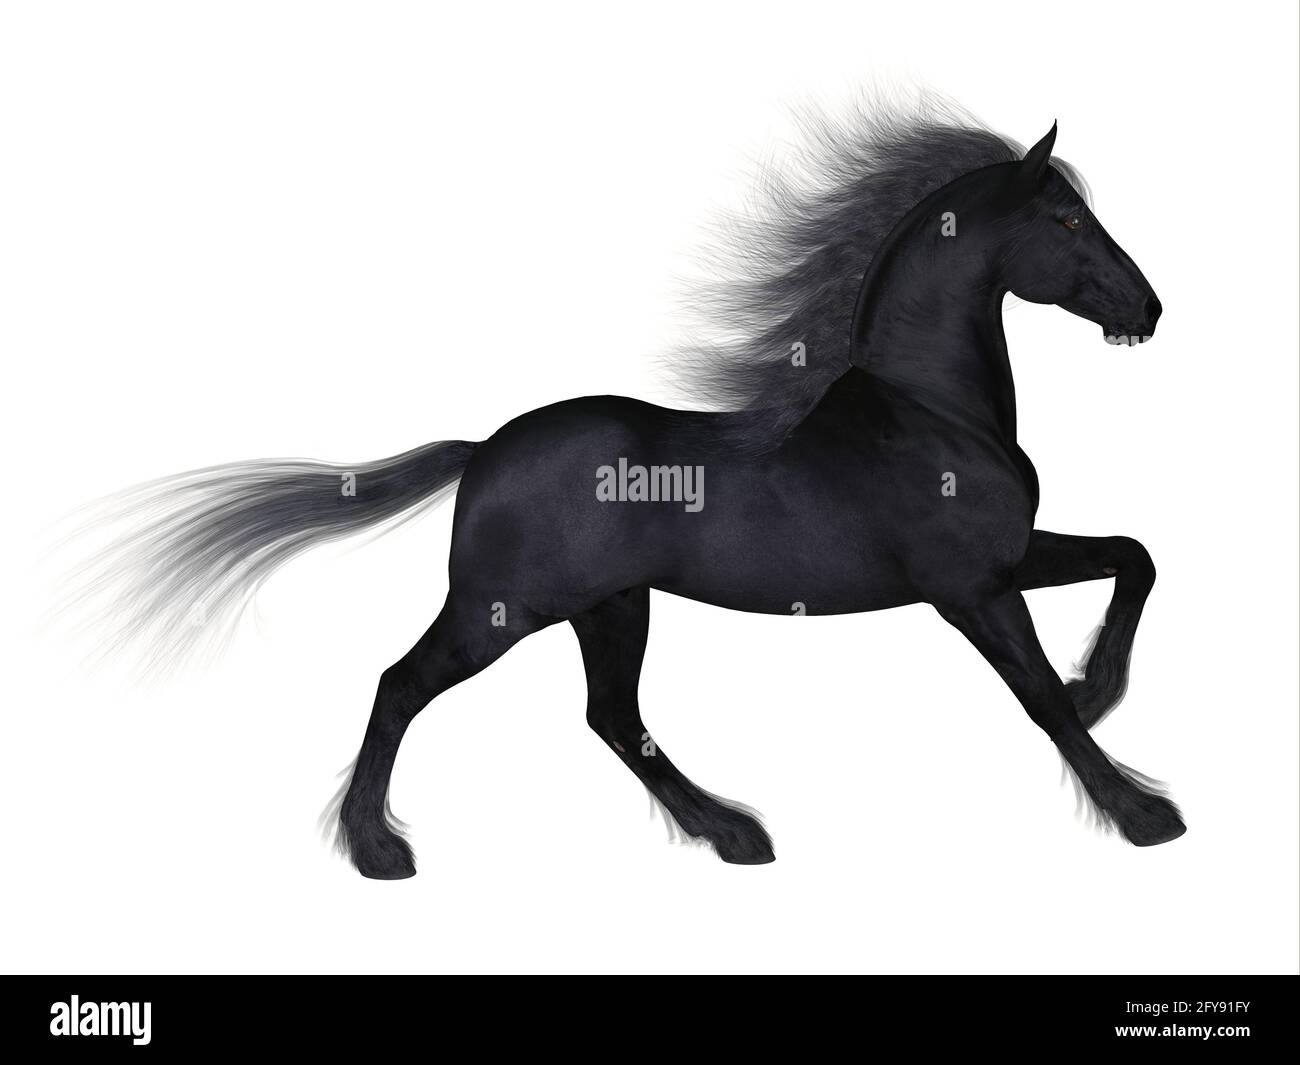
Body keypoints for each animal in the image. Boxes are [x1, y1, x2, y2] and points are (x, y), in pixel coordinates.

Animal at [71, 102, 1180, 879]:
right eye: (1067, 216)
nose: (1150, 309)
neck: (929, 411)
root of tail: (486, 449)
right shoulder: (970, 588)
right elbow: (1039, 697)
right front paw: (1144, 814)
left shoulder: (1010, 560)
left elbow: (1133, 560)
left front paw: (1103, 685)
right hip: (502, 611)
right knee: (401, 685)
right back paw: (379, 852)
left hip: (611, 607)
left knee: (611, 717)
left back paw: (732, 834)